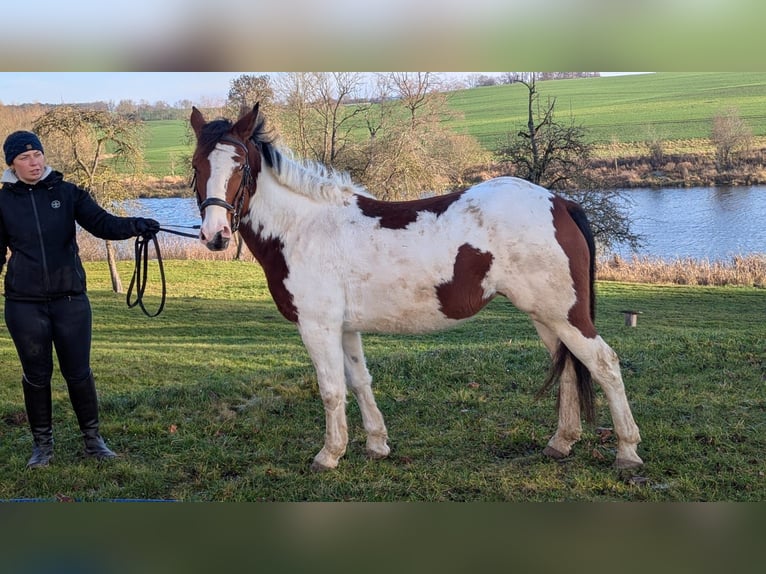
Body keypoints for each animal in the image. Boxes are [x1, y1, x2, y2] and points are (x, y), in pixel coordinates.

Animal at [189, 103, 643, 472]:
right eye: (196, 166)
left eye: (240, 165)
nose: (215, 236)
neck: (305, 228)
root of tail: (560, 202)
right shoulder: (345, 327)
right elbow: (359, 381)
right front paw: (376, 445)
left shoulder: (318, 326)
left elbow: (331, 389)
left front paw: (329, 455)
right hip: (545, 317)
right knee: (567, 367)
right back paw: (561, 443)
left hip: (566, 315)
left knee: (604, 364)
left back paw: (627, 451)